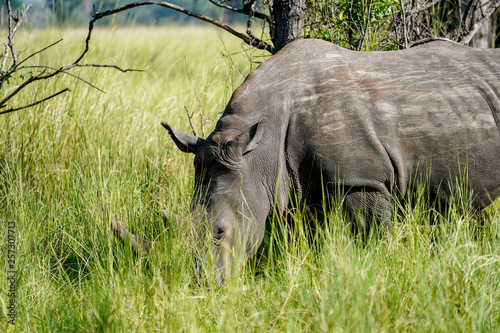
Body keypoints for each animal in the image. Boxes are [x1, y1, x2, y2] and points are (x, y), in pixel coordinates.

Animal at [111, 38, 500, 278]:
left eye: (221, 232)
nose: (200, 285)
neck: (259, 147)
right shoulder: (296, 184)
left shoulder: (360, 180)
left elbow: (372, 239)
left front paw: (375, 272)